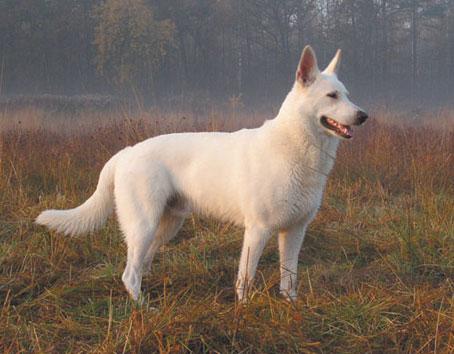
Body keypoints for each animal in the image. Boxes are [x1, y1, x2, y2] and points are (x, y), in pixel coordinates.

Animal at [36, 46, 368, 302]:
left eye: (347, 95)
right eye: (332, 96)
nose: (363, 115)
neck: (295, 149)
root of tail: (125, 153)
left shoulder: (295, 231)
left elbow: (289, 277)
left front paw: (291, 306)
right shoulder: (257, 231)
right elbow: (246, 278)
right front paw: (243, 311)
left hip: (166, 227)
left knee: (140, 267)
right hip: (143, 226)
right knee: (129, 274)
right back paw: (144, 309)